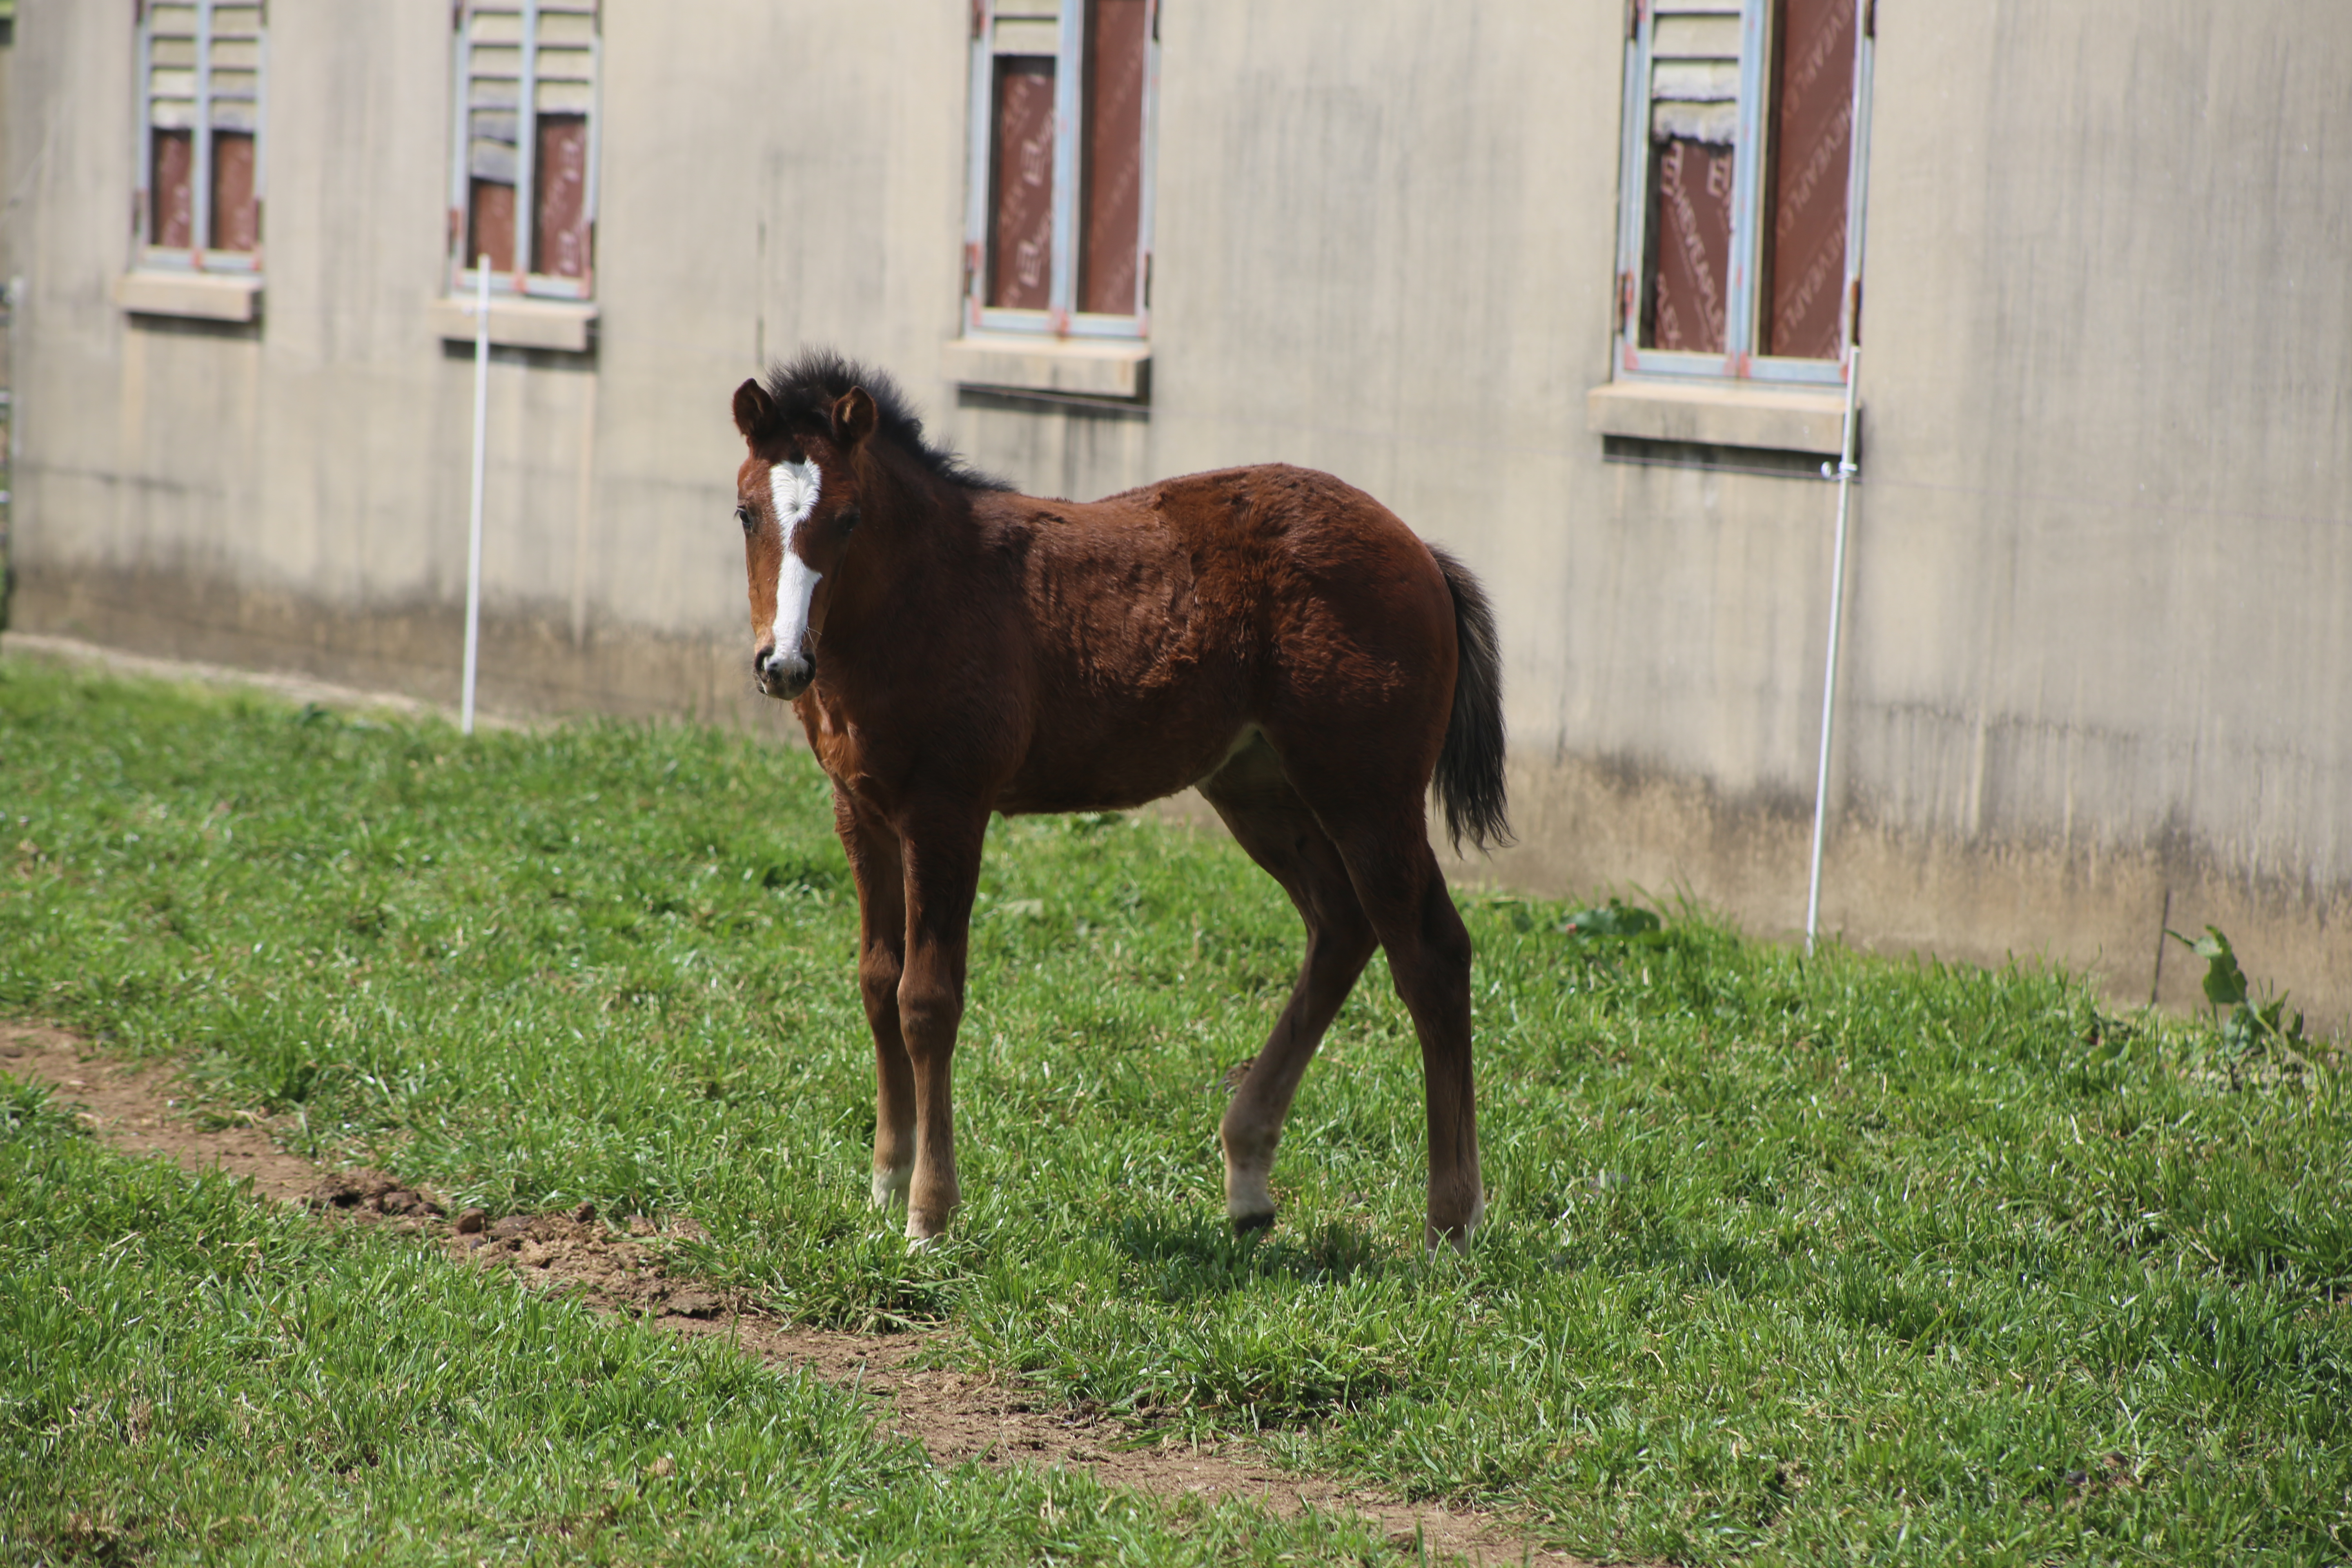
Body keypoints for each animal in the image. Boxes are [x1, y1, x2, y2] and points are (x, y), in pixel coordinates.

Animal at [724, 352, 1515, 1250]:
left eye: (850, 517)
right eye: (747, 512)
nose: (783, 664)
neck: (921, 596)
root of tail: (1420, 549)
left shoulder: (946, 809)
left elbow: (926, 1000)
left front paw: (930, 1211)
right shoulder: (860, 812)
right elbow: (874, 981)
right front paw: (885, 1183)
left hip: (1368, 792)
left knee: (1430, 953)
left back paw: (1451, 1219)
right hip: (1260, 789)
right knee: (1342, 928)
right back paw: (1249, 1181)